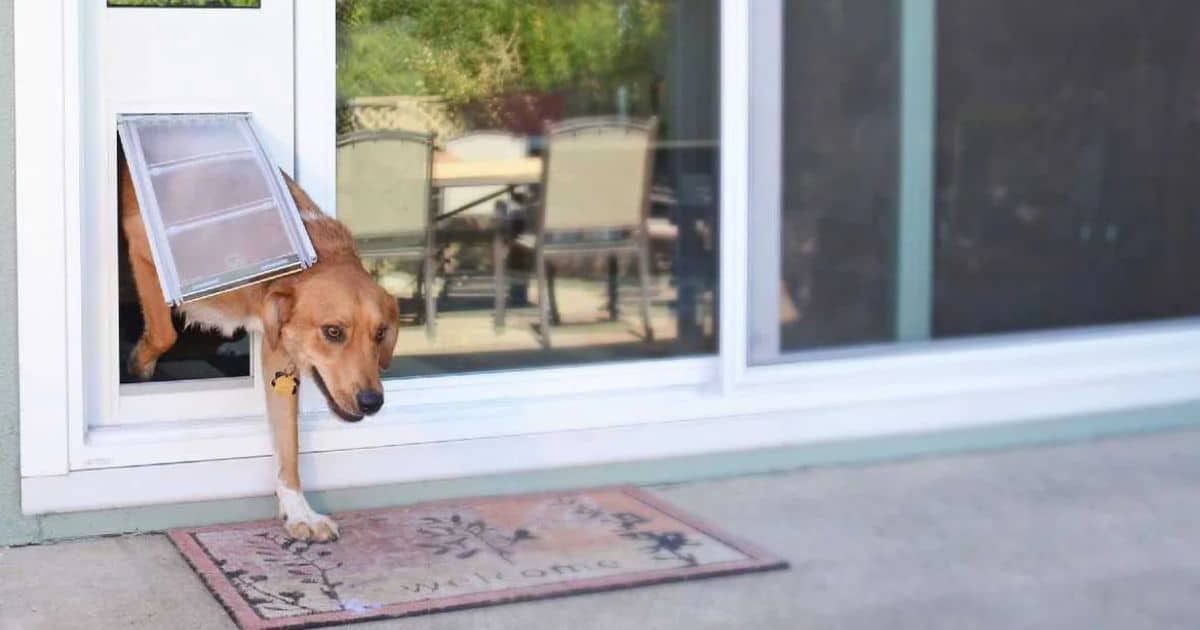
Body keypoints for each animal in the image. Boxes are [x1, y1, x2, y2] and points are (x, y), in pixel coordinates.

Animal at [119, 151, 398, 540]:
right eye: (333, 332)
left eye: (380, 334)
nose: (373, 402)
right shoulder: (144, 248)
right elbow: (164, 333)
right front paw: (139, 364)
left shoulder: (281, 353)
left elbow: (288, 442)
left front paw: (299, 510)